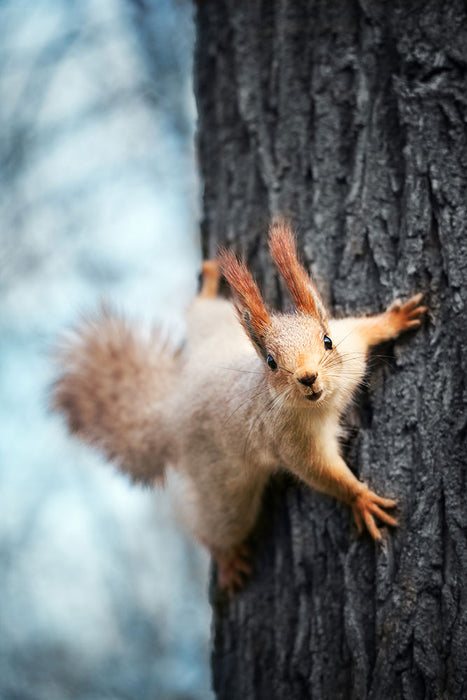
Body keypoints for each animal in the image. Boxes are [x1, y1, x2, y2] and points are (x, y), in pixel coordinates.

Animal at [53, 221, 430, 592]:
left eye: (327, 341)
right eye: (271, 362)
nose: (308, 378)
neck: (325, 401)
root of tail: (172, 411)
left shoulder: (351, 349)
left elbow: (366, 329)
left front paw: (395, 319)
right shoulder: (291, 441)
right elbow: (321, 472)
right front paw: (360, 498)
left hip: (213, 327)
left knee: (198, 311)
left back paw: (207, 283)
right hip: (224, 491)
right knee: (215, 527)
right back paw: (226, 558)